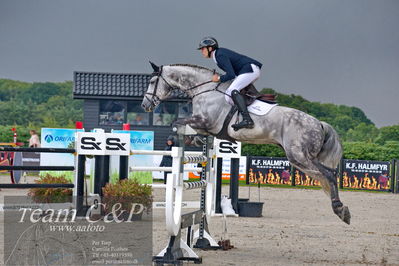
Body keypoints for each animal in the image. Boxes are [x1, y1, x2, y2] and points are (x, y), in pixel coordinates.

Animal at [142, 62, 352, 224]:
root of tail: (319, 123)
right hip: (305, 157)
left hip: (298, 157)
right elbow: (194, 134)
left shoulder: (204, 122)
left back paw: (340, 209)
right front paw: (196, 141)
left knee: (328, 175)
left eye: (152, 82)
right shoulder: (205, 126)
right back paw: (341, 208)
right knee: (328, 174)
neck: (205, 90)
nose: (145, 105)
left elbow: (177, 123)